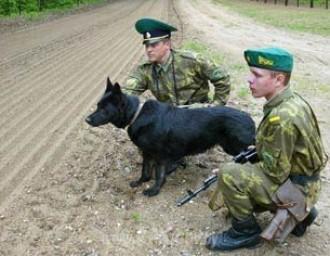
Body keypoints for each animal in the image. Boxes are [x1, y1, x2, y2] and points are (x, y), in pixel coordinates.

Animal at [85, 77, 255, 196]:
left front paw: (154, 190)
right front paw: (141, 182)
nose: (86, 119)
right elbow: (145, 170)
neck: (137, 114)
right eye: (97, 106)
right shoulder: (147, 153)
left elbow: (159, 175)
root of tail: (250, 118)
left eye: (103, 109)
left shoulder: (160, 155)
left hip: (236, 147)